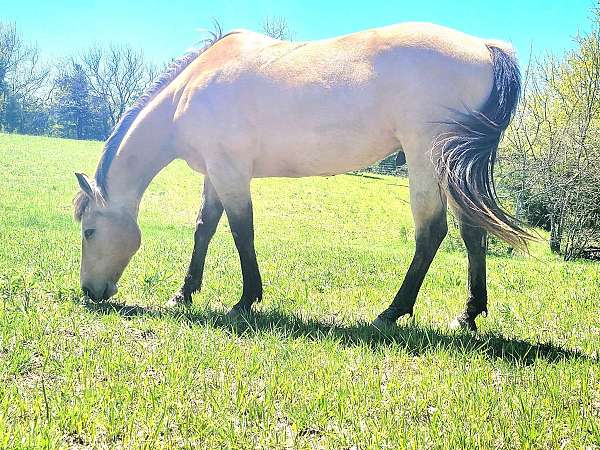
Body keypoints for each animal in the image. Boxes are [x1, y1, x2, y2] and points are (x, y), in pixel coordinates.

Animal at [74, 22, 528, 330]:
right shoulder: (216, 171)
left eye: (89, 231)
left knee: (432, 233)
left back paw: (391, 312)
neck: (191, 88)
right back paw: (467, 315)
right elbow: (205, 227)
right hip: (451, 166)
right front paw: (183, 293)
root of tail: (486, 48)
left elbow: (241, 231)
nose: (90, 293)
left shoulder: (231, 171)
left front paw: (245, 300)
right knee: (472, 232)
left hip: (425, 158)